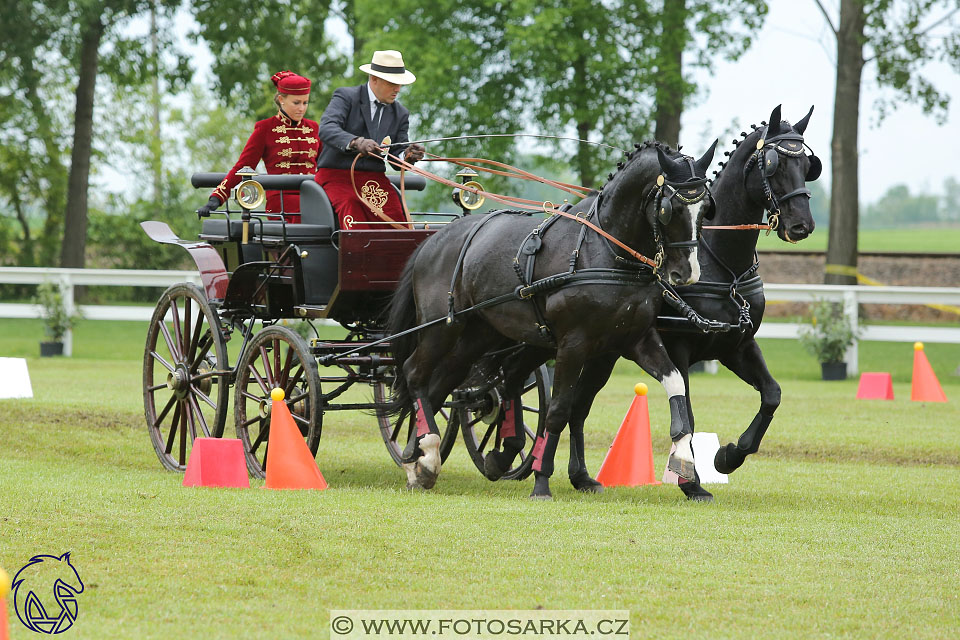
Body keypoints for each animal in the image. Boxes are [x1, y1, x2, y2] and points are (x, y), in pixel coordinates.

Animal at [386, 141, 716, 496]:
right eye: (671, 208)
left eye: (706, 208)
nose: (686, 273)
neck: (606, 251)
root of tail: (433, 239)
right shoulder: (573, 344)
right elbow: (558, 410)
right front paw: (542, 481)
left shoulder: (634, 339)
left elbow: (676, 384)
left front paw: (686, 464)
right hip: (442, 328)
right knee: (415, 373)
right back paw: (427, 453)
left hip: (480, 334)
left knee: (445, 383)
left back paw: (419, 461)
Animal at [564, 105, 816, 502]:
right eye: (773, 164)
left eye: (808, 164)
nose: (801, 225)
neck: (724, 265)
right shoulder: (678, 347)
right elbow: (688, 413)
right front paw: (692, 481)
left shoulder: (736, 345)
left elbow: (772, 394)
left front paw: (730, 455)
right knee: (572, 404)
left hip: (604, 352)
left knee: (577, 406)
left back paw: (581, 477)